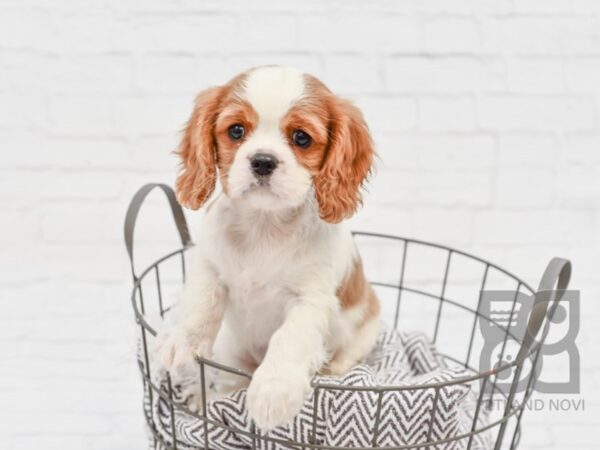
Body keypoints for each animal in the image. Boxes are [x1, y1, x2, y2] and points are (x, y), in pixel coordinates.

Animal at [156, 65, 380, 430]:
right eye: (236, 130)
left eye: (301, 138)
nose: (263, 161)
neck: (264, 224)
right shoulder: (210, 268)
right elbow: (201, 304)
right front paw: (182, 339)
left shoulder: (309, 299)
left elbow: (288, 337)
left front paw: (275, 390)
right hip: (233, 357)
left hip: (366, 327)